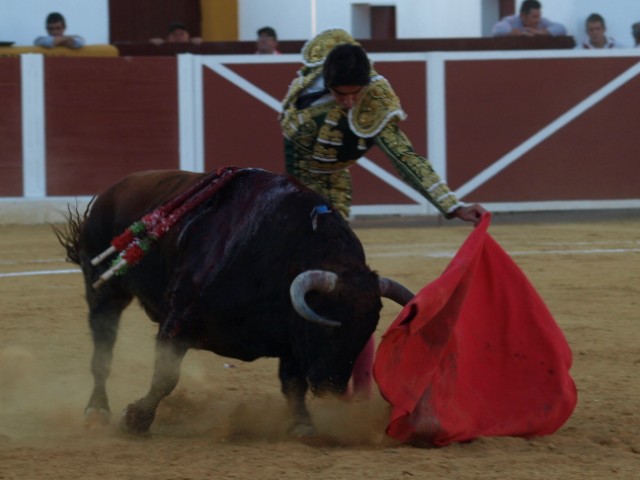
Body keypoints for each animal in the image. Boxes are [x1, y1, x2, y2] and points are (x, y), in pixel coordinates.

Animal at [56, 168, 416, 436]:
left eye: (365, 334)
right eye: (328, 328)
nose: (333, 388)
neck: (283, 256)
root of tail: (110, 193)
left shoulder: (290, 339)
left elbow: (293, 384)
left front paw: (303, 425)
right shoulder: (179, 318)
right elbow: (166, 376)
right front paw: (135, 419)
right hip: (105, 292)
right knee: (102, 351)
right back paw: (96, 410)